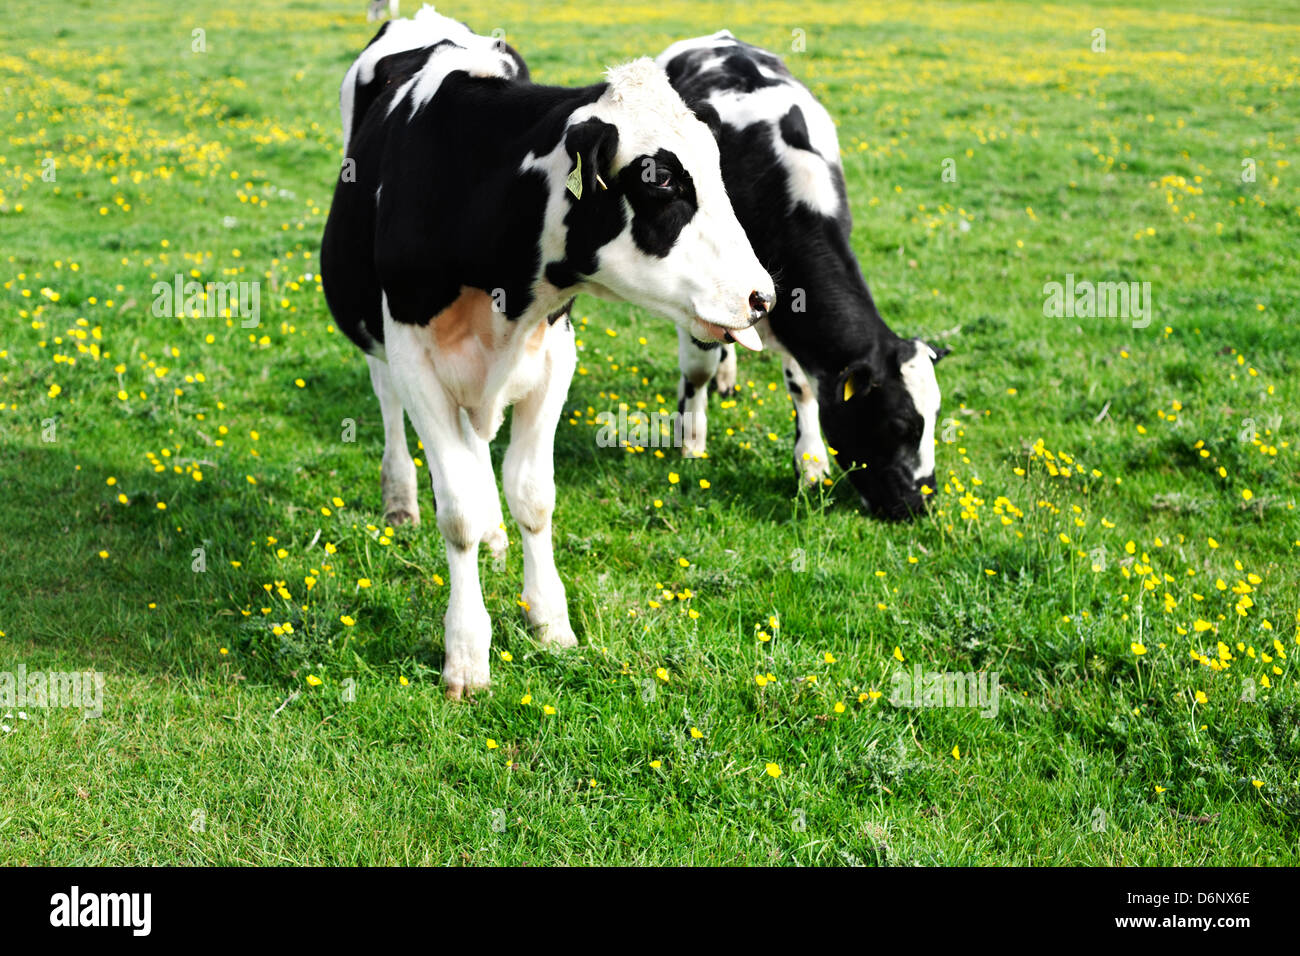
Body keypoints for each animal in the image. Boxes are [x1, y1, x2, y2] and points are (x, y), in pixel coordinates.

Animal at [321, 5, 774, 697]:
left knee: (479, 448)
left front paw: (550, 623)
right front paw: (466, 654)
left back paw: (496, 534)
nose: (762, 296)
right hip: (377, 337)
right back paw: (401, 500)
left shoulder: (553, 354)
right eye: (662, 180)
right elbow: (456, 511)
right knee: (390, 407)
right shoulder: (416, 358)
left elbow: (533, 496)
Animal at [660, 31, 946, 522]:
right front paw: (691, 441)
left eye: (932, 423)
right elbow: (696, 368)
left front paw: (811, 464)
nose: (920, 503)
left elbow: (804, 385)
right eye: (898, 425)